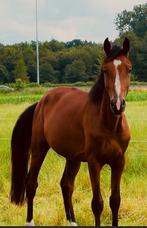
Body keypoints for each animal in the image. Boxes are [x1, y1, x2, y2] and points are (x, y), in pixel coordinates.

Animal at [10, 37, 132, 226]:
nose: (117, 105)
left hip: (73, 158)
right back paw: (30, 222)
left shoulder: (119, 162)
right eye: (105, 70)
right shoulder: (94, 162)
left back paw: (72, 222)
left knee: (66, 185)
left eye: (129, 69)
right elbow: (97, 203)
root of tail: (41, 101)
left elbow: (115, 200)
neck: (109, 126)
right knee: (31, 184)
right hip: (39, 149)